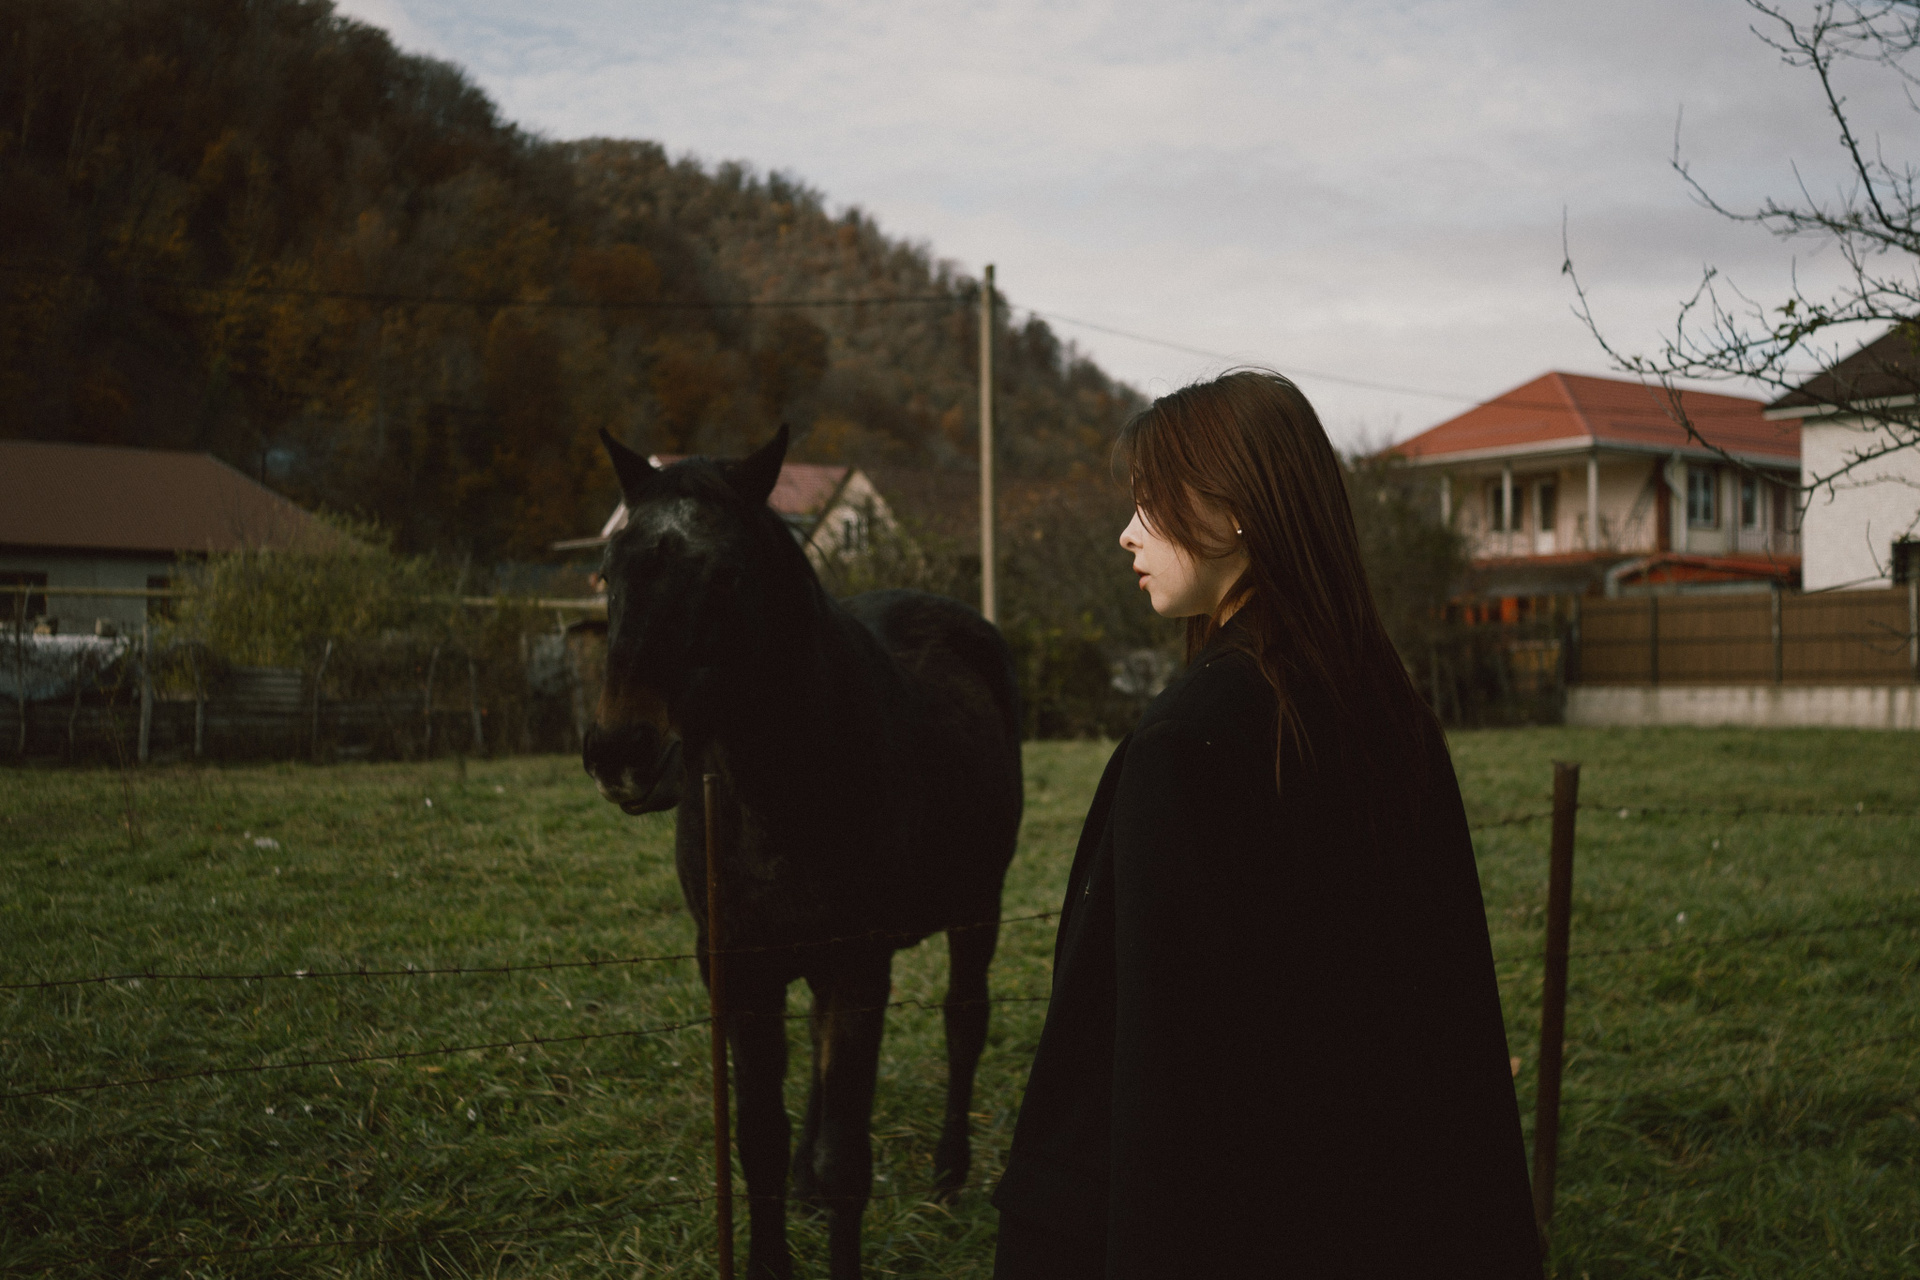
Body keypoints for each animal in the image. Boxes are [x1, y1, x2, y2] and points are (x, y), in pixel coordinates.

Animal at [582, 426, 1024, 1280]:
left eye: (725, 575)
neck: (785, 788)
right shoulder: (739, 966)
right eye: (610, 570)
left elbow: (849, 1158)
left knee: (964, 1022)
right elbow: (758, 1139)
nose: (621, 749)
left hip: (976, 905)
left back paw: (948, 1174)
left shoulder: (858, 963)